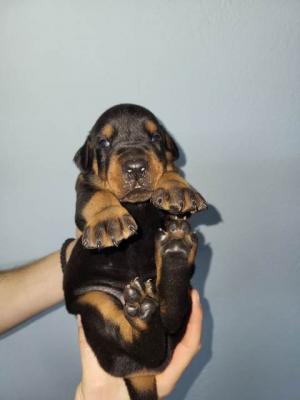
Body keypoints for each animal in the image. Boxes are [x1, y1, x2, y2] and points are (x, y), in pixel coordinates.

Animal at [61, 104, 206, 398]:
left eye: (155, 137)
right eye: (103, 142)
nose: (136, 166)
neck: (137, 205)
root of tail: (141, 374)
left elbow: (171, 170)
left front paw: (178, 188)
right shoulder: (84, 184)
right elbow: (95, 195)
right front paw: (107, 220)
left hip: (184, 293)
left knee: (172, 316)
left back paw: (174, 254)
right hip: (92, 303)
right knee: (143, 343)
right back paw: (144, 309)